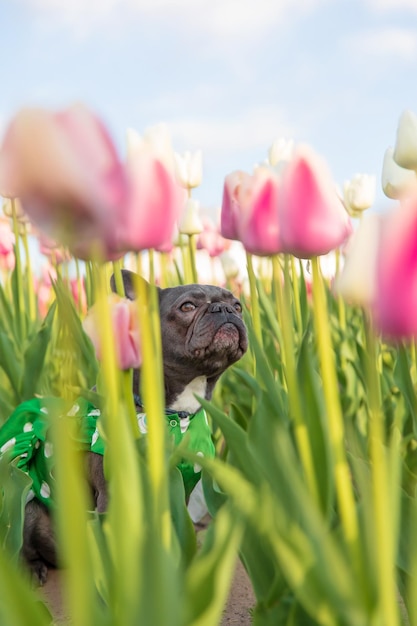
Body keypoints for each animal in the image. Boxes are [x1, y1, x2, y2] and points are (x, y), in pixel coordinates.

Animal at [0, 268, 247, 580]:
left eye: (238, 305)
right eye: (187, 307)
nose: (225, 310)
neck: (174, 412)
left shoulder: (183, 488)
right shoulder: (113, 495)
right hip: (26, 502)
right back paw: (32, 570)